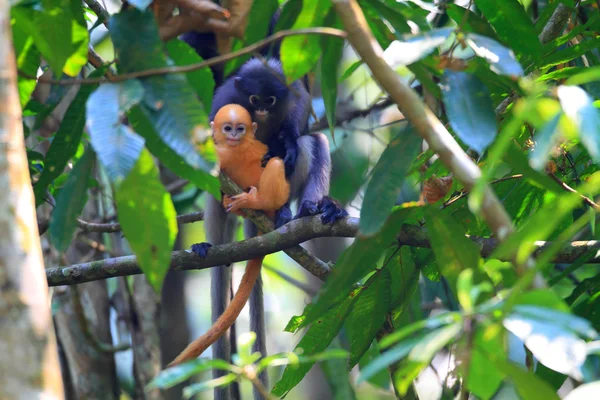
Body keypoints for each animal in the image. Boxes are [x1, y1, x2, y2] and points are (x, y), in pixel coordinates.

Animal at [169, 104, 290, 368]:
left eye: (240, 128)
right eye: (227, 128)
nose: (234, 135)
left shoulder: (230, 152)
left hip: (276, 198)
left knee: (276, 164)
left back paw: (256, 201)